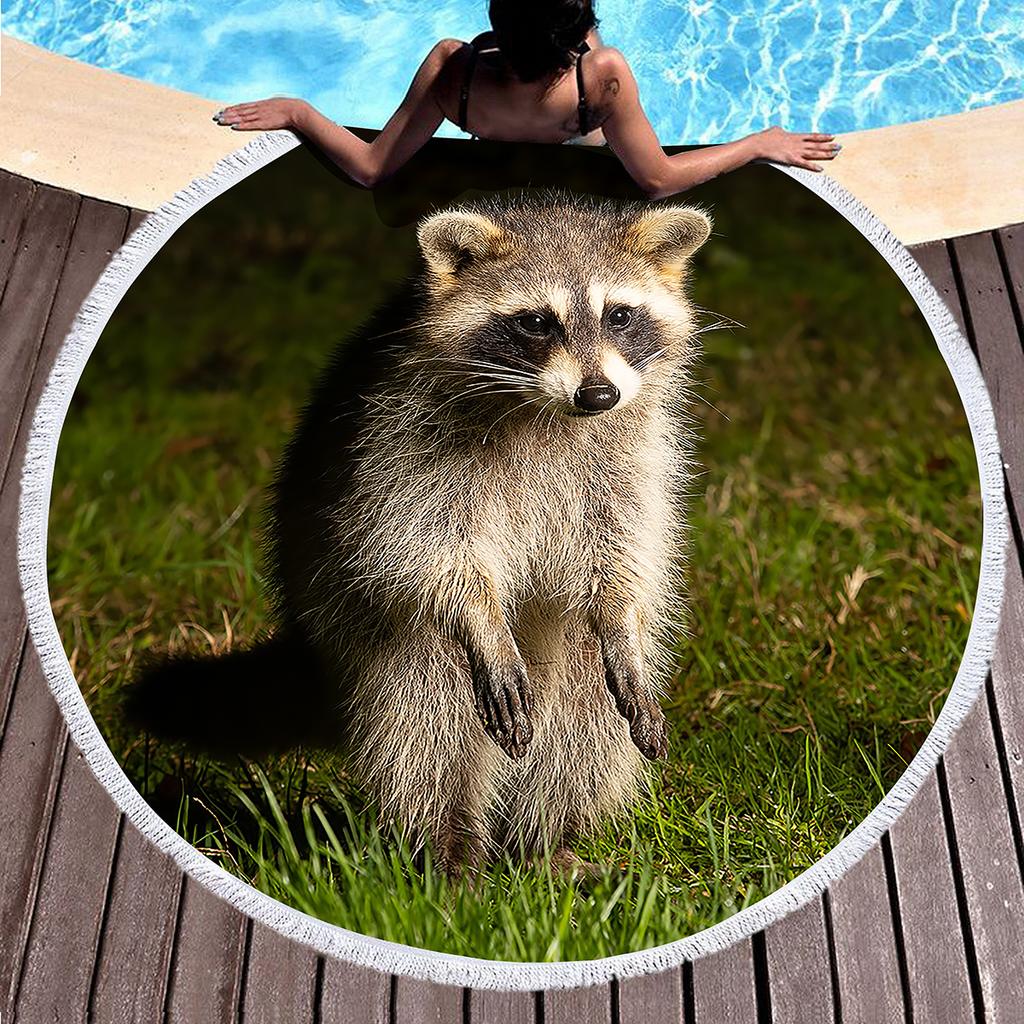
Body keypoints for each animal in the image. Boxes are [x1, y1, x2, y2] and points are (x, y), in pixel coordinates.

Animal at [135, 190, 712, 873]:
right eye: (537, 322)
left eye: (621, 315)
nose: (597, 394)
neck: (545, 410)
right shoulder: (403, 439)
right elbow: (423, 543)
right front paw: (483, 619)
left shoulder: (628, 449)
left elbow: (621, 547)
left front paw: (622, 626)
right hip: (367, 629)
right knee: (428, 719)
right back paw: (448, 846)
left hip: (561, 643)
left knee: (583, 718)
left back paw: (550, 840)